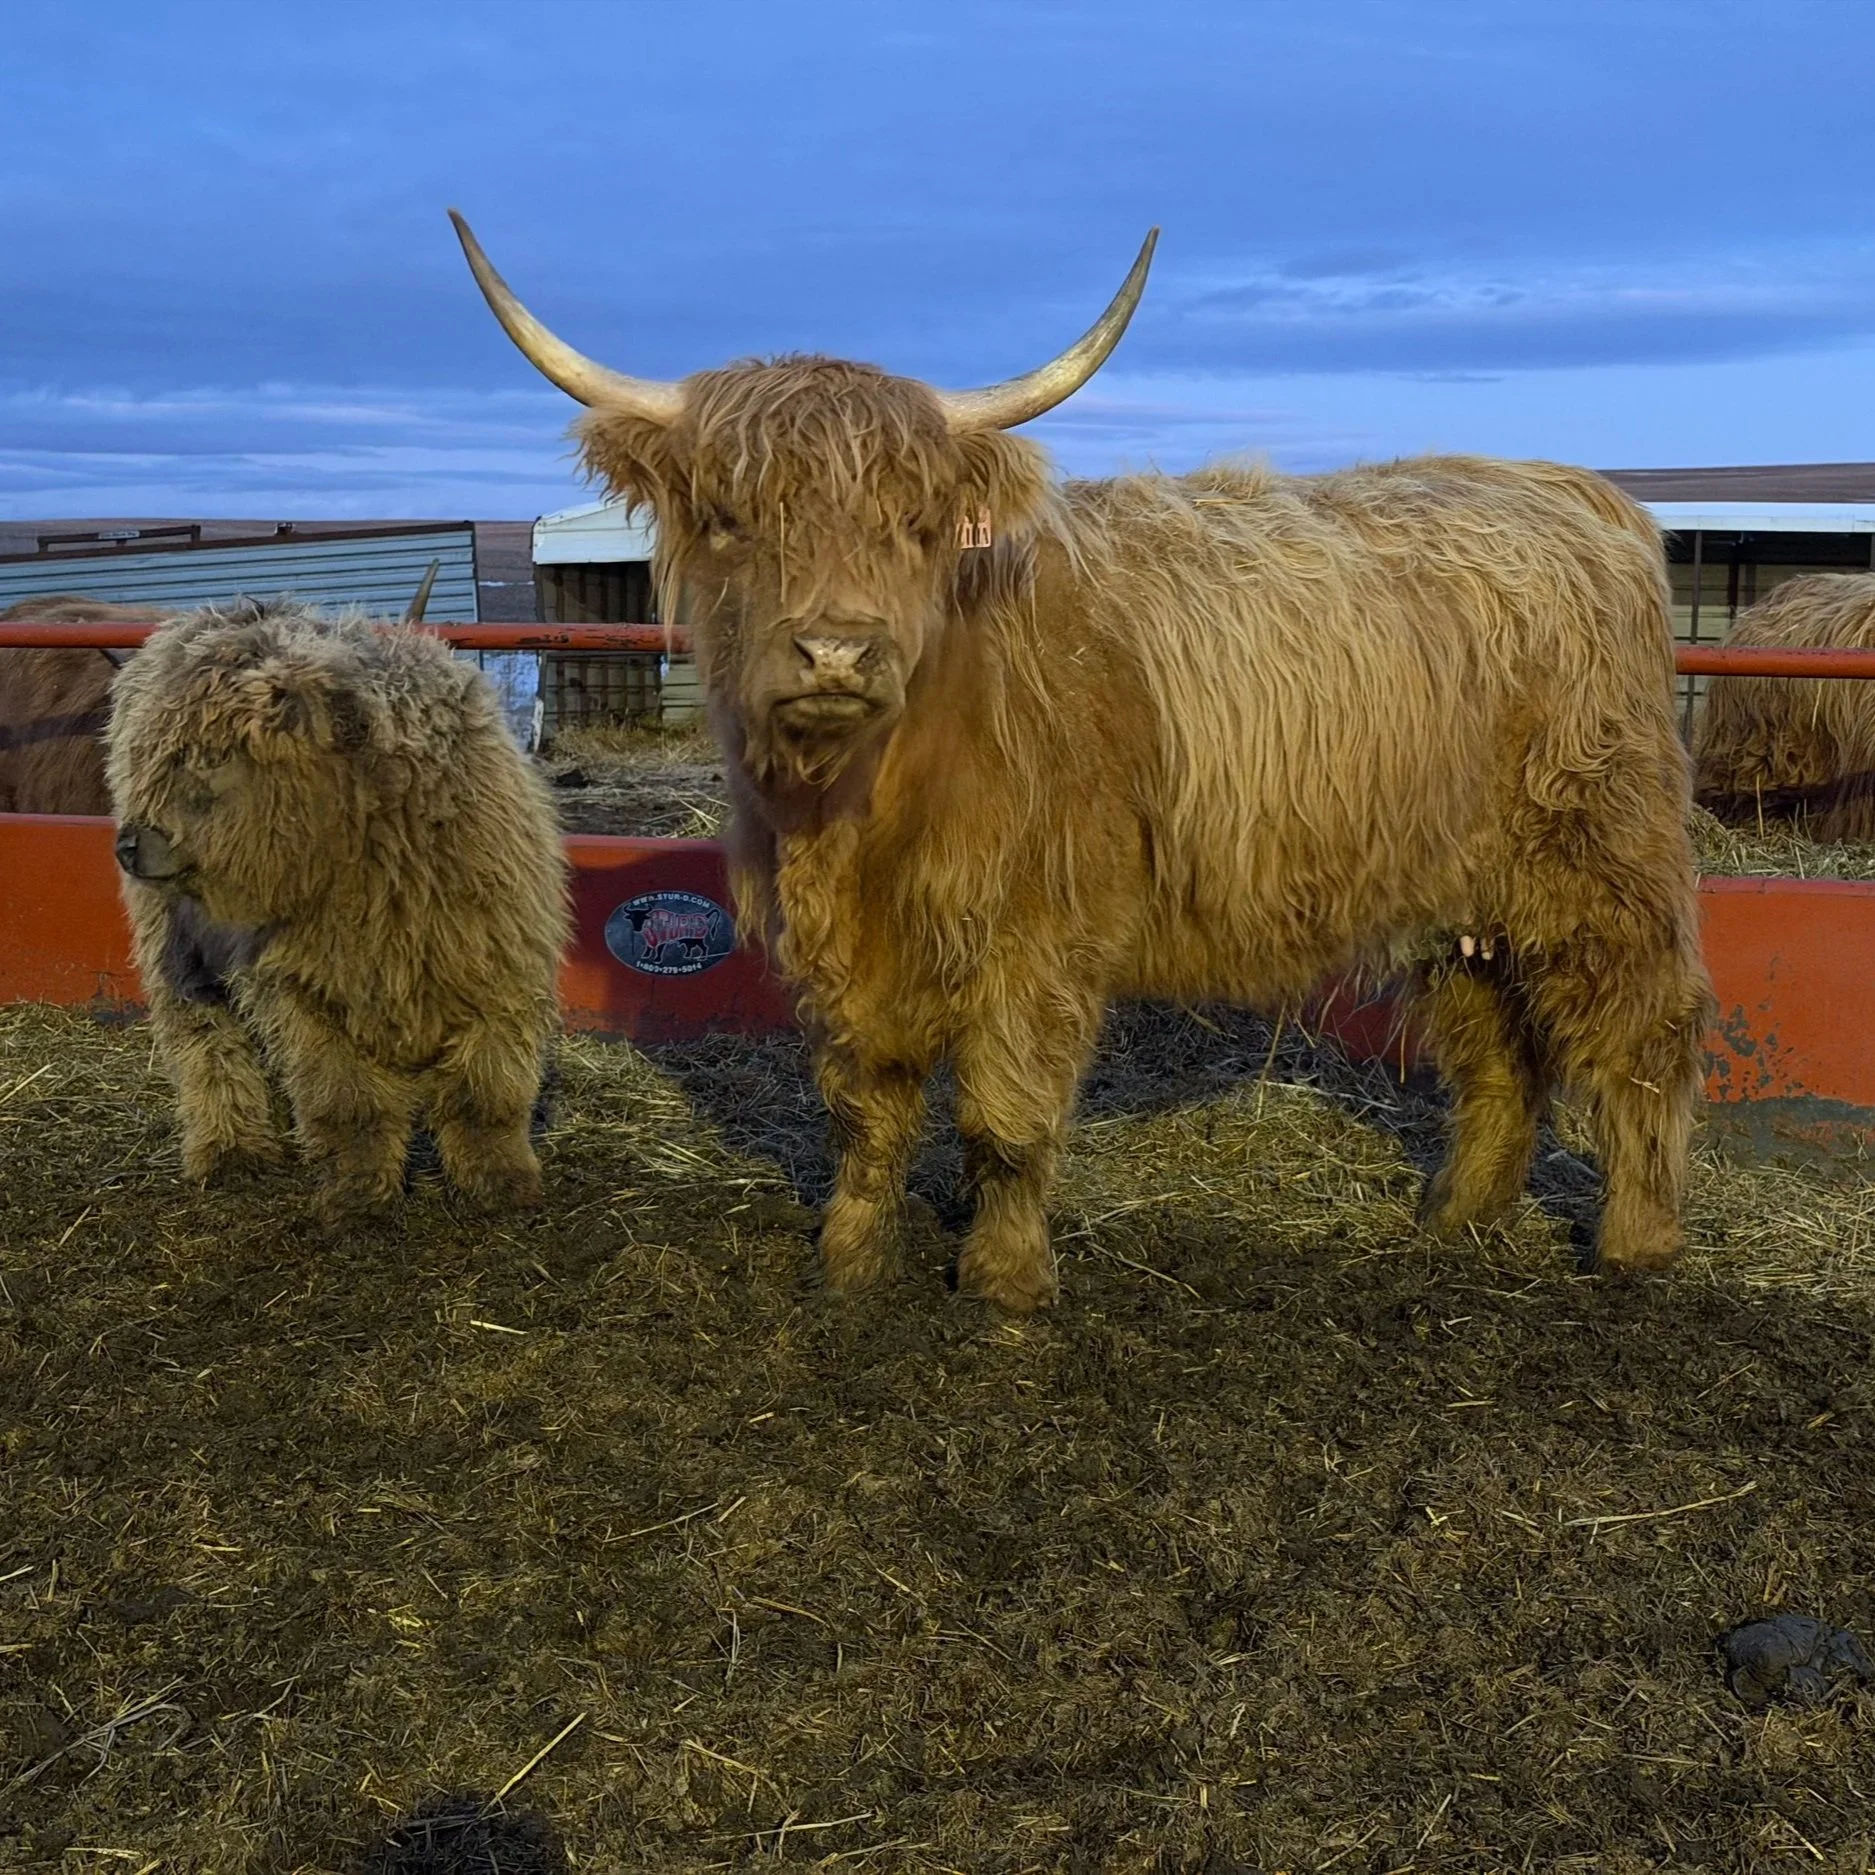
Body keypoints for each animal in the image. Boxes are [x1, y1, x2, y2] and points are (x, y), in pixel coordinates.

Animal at [108, 598, 569, 1222]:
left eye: (214, 757)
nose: (130, 843)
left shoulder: (499, 975)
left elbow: (487, 1098)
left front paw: (502, 1185)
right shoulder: (308, 999)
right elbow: (350, 1106)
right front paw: (358, 1199)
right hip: (175, 946)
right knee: (205, 1040)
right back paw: (230, 1152)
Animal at [451, 210, 1714, 1309]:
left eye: (917, 524)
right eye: (730, 516)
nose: (837, 648)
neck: (856, 811)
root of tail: (1578, 492)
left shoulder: (1036, 934)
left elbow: (1004, 1120)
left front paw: (1005, 1281)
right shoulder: (849, 955)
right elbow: (867, 1111)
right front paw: (852, 1257)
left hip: (1602, 860)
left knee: (1642, 1032)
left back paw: (1637, 1242)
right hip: (1462, 895)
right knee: (1497, 1049)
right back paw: (1459, 1218)